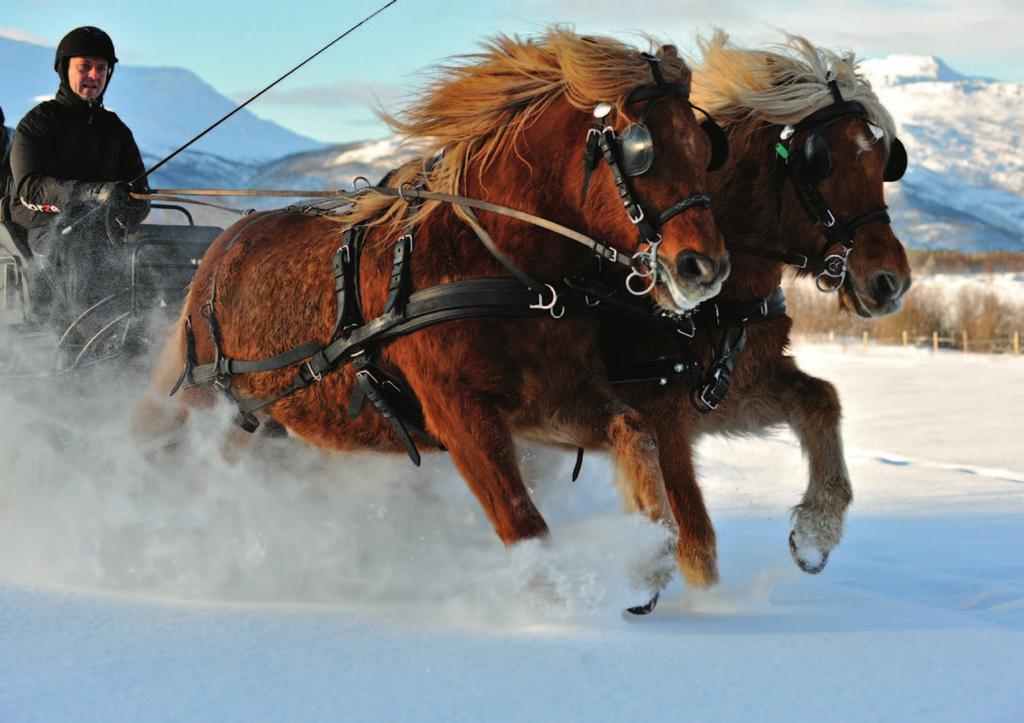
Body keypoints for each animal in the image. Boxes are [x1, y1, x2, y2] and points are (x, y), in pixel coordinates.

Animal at [142, 28, 729, 598]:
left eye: (705, 149)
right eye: (641, 150)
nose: (705, 268)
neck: (502, 265)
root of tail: (223, 245)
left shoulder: (550, 399)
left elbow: (636, 432)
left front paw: (651, 554)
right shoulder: (457, 411)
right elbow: (523, 526)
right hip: (207, 405)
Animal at [598, 30, 913, 589]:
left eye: (884, 159)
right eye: (819, 161)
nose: (889, 281)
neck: (720, 305)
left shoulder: (734, 387)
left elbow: (822, 399)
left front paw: (816, 530)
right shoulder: (659, 416)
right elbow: (695, 540)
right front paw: (712, 604)